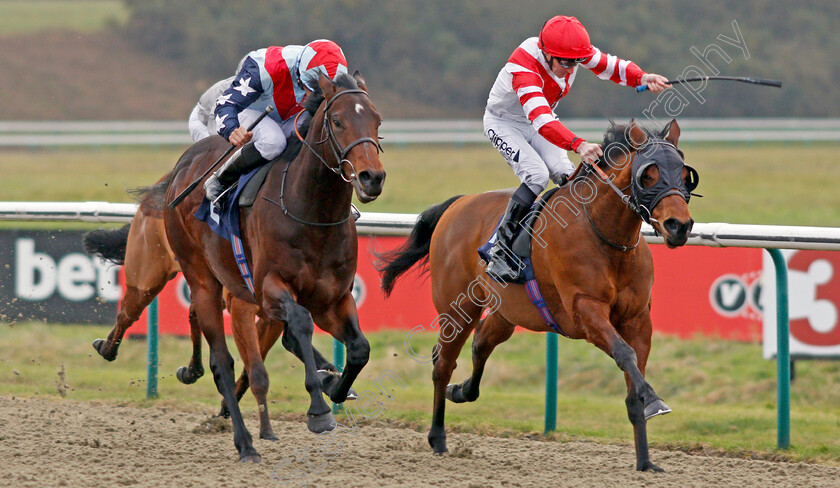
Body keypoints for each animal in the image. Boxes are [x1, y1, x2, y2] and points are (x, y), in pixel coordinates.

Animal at [162, 71, 384, 462]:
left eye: (377, 120)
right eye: (338, 121)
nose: (372, 177)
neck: (312, 213)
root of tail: (182, 167)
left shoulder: (333, 299)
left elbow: (359, 348)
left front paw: (335, 387)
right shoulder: (269, 289)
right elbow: (301, 323)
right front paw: (319, 410)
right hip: (203, 281)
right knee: (222, 364)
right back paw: (246, 443)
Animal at [378, 120, 696, 470]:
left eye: (684, 174)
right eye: (649, 175)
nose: (679, 226)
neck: (606, 236)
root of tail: (458, 205)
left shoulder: (637, 319)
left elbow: (633, 370)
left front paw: (646, 461)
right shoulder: (585, 310)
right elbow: (624, 354)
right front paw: (654, 400)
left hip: (506, 311)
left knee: (481, 344)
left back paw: (460, 391)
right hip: (457, 306)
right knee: (443, 362)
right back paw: (437, 436)